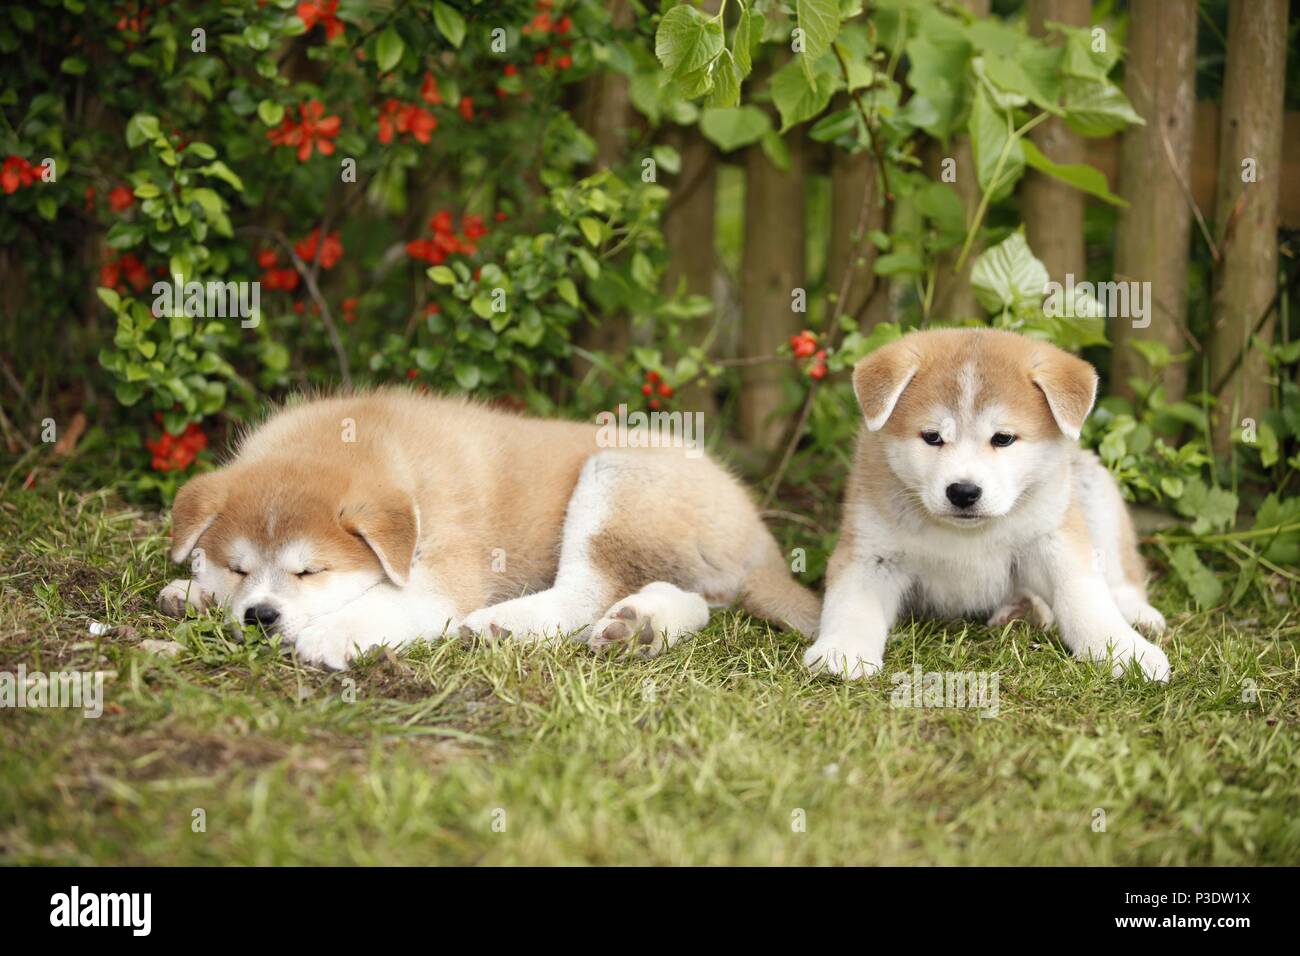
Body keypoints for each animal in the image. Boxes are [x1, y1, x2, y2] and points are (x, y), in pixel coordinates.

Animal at [157, 387, 816, 665]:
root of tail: (758, 529)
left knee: (586, 591)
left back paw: (504, 624)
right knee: (692, 603)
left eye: (309, 571)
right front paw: (195, 591)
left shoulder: (445, 574)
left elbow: (390, 604)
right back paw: (640, 627)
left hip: (616, 477)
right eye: (239, 567)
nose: (259, 617)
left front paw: (333, 634)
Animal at [806, 327, 1175, 681]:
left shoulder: (1053, 538)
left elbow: (1085, 598)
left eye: (1003, 438)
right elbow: (853, 605)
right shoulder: (871, 553)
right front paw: (841, 649)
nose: (963, 491)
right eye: (932, 437)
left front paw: (1124, 650)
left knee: (1119, 570)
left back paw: (1134, 613)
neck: (967, 534)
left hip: (1094, 491)